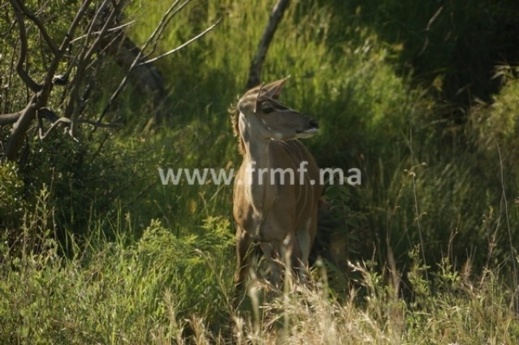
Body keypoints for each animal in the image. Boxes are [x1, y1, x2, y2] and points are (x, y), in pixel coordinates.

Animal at [231, 76, 322, 292]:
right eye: (267, 108)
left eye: (280, 101)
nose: (312, 122)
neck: (261, 206)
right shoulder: (244, 233)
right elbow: (239, 280)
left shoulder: (287, 235)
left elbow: (296, 282)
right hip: (268, 243)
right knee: (277, 274)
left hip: (308, 223)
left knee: (301, 273)